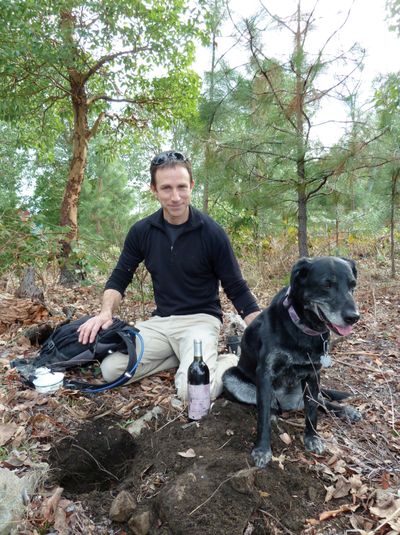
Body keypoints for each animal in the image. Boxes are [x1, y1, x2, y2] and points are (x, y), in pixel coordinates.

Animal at [223, 255, 360, 468]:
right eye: (327, 285)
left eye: (352, 285)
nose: (354, 317)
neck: (302, 330)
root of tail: (287, 404)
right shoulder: (265, 374)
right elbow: (262, 416)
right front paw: (262, 449)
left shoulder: (313, 374)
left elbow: (312, 412)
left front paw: (312, 437)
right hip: (230, 376)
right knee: (268, 406)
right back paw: (273, 413)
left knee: (321, 402)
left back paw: (345, 410)